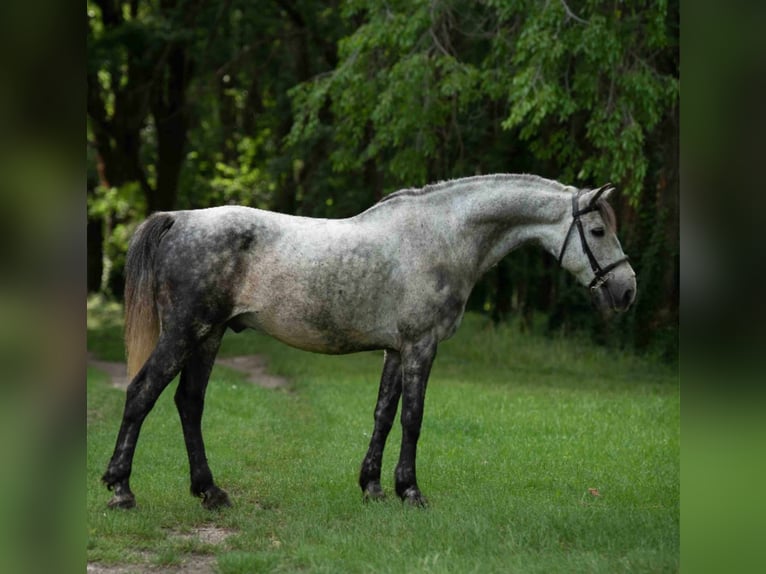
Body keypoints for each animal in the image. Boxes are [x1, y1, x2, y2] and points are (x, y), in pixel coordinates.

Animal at [103, 173, 640, 510]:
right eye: (597, 230)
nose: (627, 290)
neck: (441, 236)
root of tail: (181, 218)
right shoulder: (421, 346)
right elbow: (413, 418)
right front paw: (411, 492)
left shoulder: (396, 349)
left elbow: (383, 414)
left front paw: (373, 487)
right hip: (185, 332)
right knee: (141, 394)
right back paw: (121, 490)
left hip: (209, 336)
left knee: (189, 404)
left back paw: (210, 493)